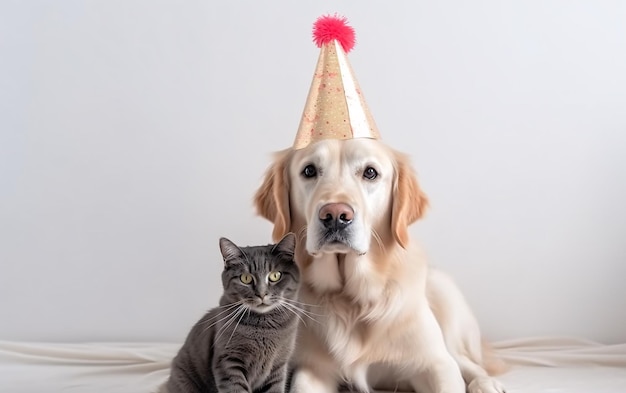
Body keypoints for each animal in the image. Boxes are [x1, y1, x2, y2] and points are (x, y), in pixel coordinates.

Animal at [160, 233, 298, 392]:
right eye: (245, 278)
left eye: (275, 275)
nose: (262, 294)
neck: (264, 327)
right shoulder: (228, 362)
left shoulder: (278, 366)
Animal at [254, 136, 502, 390]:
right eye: (309, 171)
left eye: (370, 172)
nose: (335, 216)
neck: (351, 300)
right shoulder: (313, 368)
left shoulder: (435, 364)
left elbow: (448, 369)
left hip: (445, 298)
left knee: (466, 361)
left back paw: (486, 384)